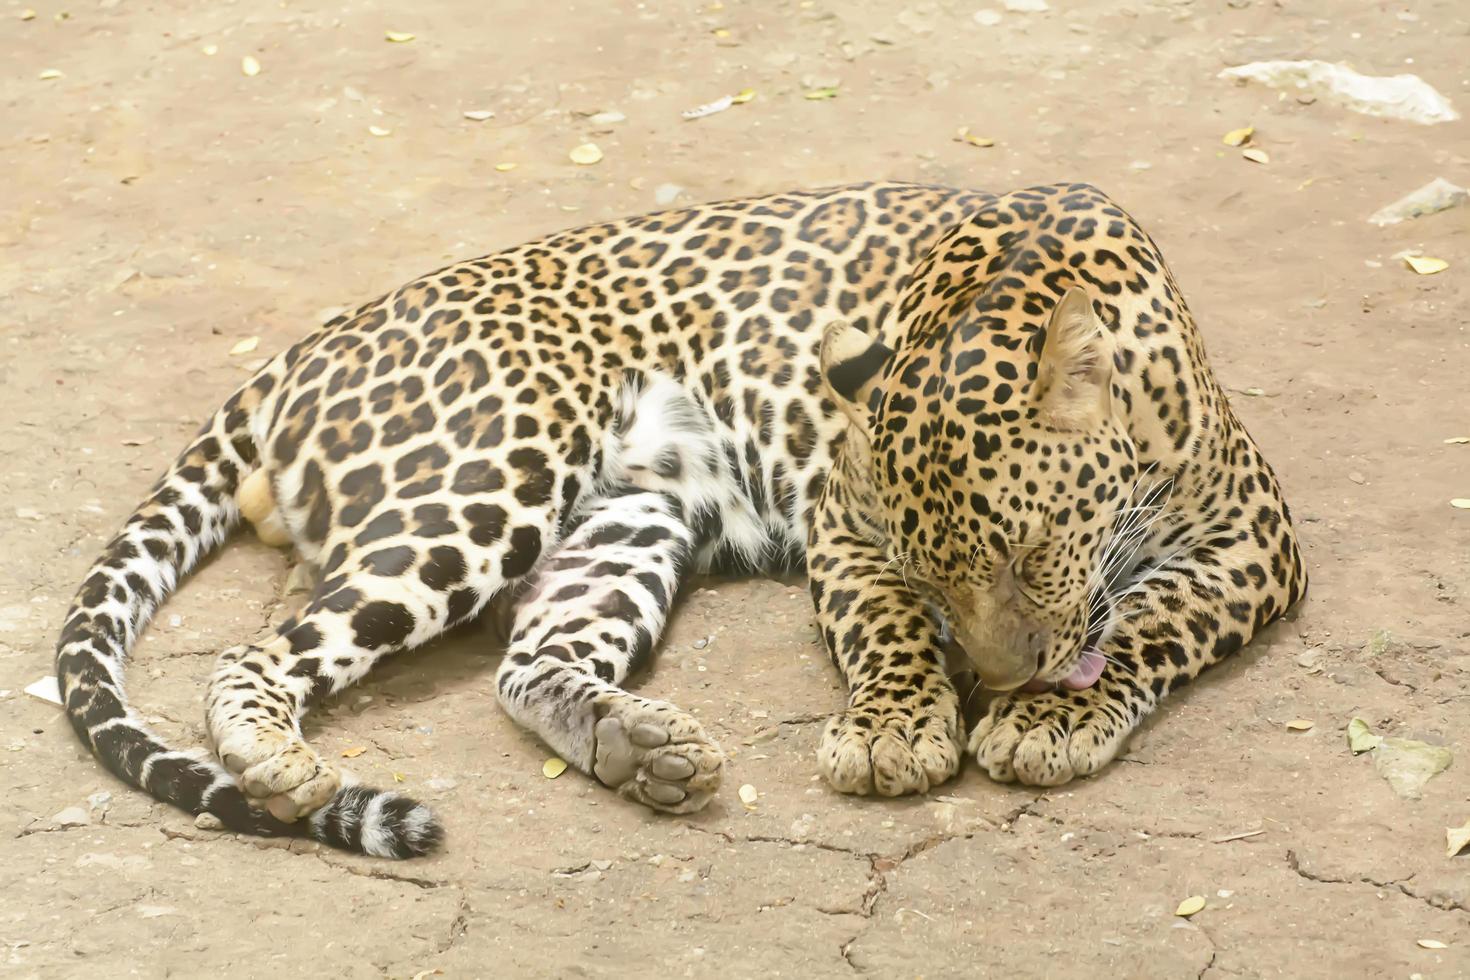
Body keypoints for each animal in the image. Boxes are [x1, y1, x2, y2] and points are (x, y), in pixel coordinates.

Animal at [51, 183, 1305, 858]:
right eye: (933, 569)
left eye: (1030, 553)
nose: (996, 679)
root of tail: (298, 350)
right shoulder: (847, 523)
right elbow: (887, 634)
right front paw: (899, 725)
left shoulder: (1254, 542)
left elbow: (1149, 624)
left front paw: (1046, 714)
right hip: (489, 475)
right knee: (256, 653)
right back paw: (281, 758)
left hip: (628, 517)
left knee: (526, 664)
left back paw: (641, 746)